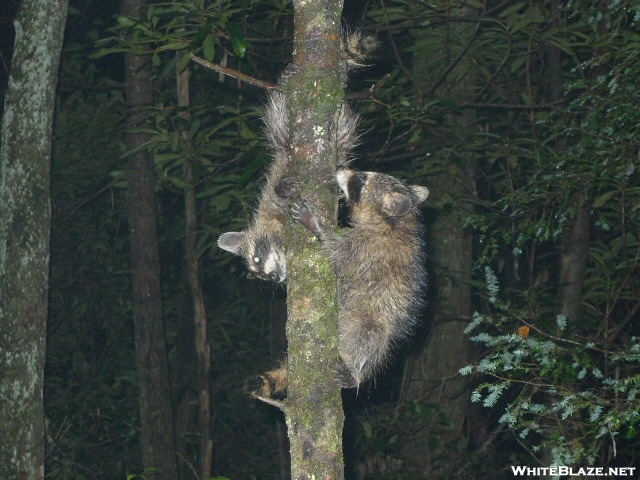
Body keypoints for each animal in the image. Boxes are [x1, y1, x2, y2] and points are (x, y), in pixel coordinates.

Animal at [219, 33, 376, 284]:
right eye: (260, 277)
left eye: (257, 260)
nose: (274, 278)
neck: (275, 229)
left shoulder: (272, 204)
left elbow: (275, 190)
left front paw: (281, 189)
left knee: (280, 115)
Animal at [248, 167, 428, 396]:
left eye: (361, 179)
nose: (341, 169)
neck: (397, 221)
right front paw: (282, 190)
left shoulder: (369, 248)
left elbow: (340, 254)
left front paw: (317, 226)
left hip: (369, 320)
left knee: (370, 336)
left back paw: (357, 372)